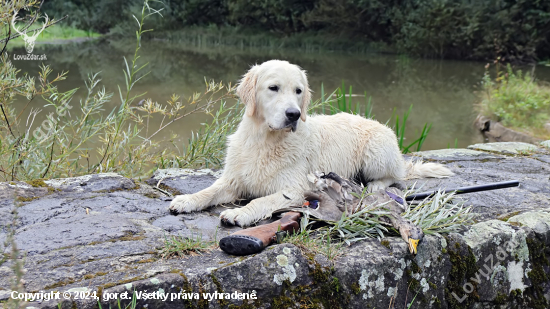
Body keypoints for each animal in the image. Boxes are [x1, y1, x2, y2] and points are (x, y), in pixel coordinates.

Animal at [170, 59, 454, 225]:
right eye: (273, 88)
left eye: (299, 91)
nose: (294, 114)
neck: (266, 140)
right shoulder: (234, 179)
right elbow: (209, 191)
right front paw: (187, 200)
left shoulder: (294, 190)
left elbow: (260, 201)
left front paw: (240, 213)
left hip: (376, 152)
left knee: (395, 177)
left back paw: (375, 185)